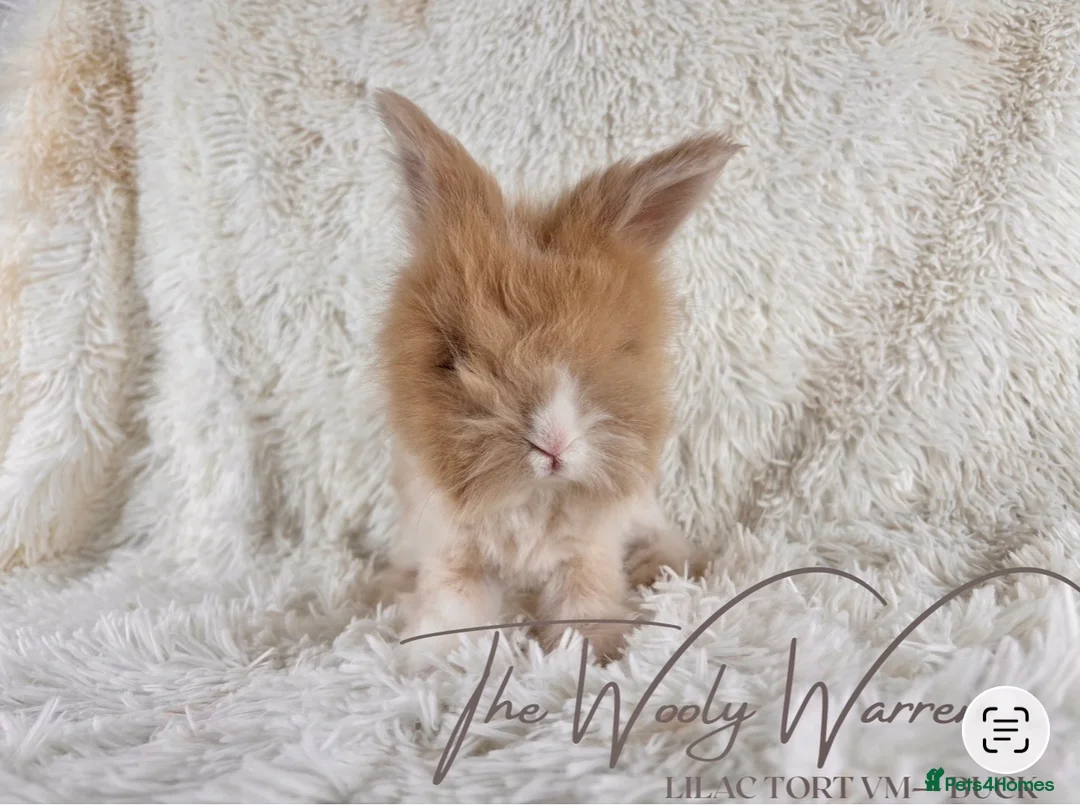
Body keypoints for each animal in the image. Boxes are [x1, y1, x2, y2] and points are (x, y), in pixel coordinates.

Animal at [369, 90, 740, 672]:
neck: (532, 496)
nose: (553, 444)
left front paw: (590, 658)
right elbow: (453, 608)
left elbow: (583, 605)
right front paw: (433, 663)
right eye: (453, 358)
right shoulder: (452, 552)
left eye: (621, 349)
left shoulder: (587, 554)